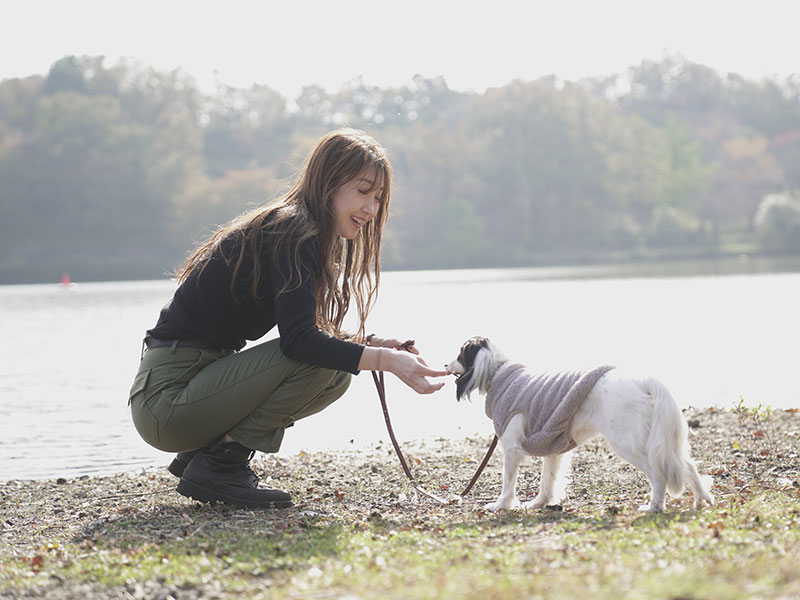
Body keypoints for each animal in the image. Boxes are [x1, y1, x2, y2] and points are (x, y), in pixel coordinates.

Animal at [446, 336, 716, 512]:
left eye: (460, 353)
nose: (445, 365)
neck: (500, 372)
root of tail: (640, 381)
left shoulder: (511, 448)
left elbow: (508, 482)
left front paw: (501, 505)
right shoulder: (553, 447)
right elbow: (548, 481)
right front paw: (539, 504)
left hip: (627, 443)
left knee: (659, 474)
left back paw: (654, 507)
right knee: (687, 465)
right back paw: (702, 498)